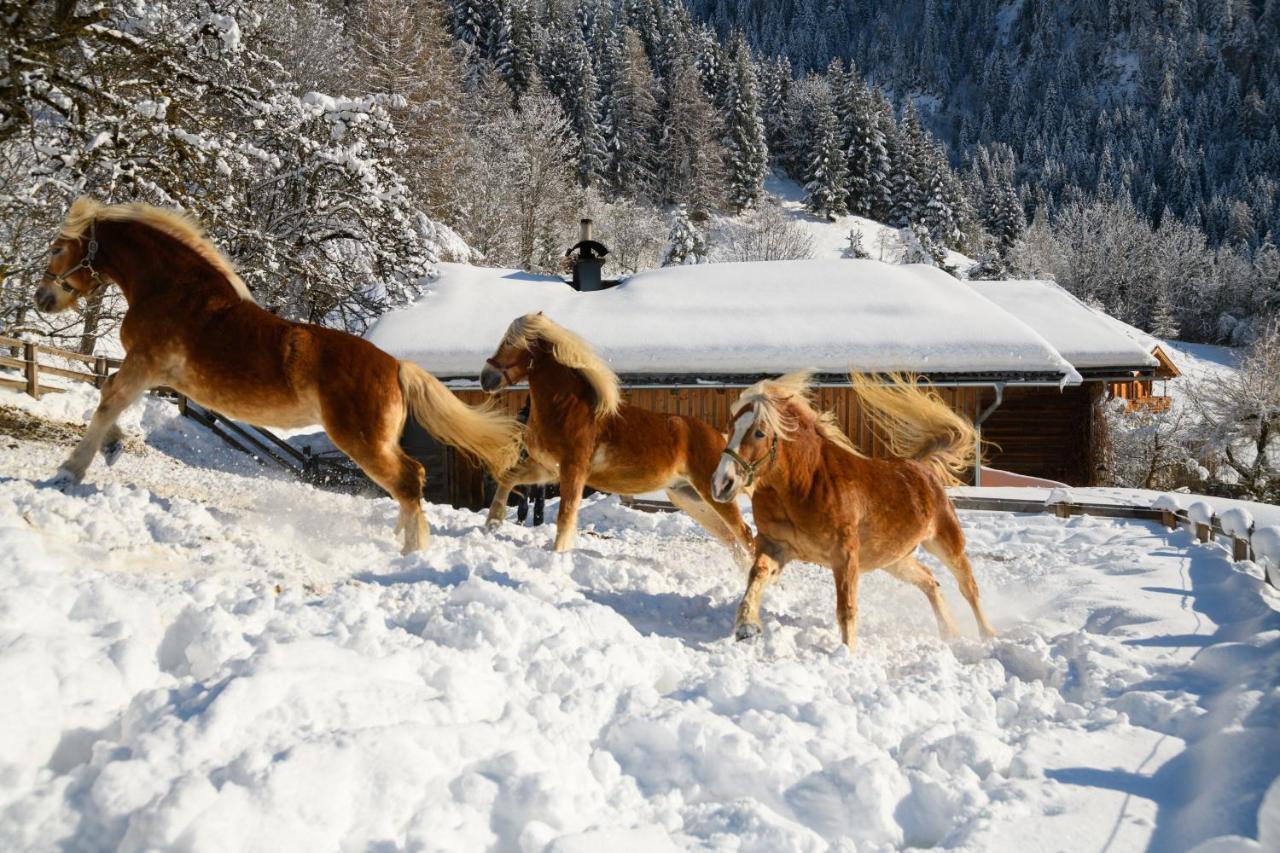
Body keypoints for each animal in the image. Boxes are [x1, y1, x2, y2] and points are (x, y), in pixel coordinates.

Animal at [31, 195, 519, 550]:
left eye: (57, 247)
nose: (41, 298)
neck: (174, 292)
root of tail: (395, 365)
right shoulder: (152, 374)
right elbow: (110, 396)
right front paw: (111, 448)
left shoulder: (144, 362)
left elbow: (108, 398)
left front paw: (68, 472)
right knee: (409, 481)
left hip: (361, 441)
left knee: (407, 480)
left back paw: (411, 552)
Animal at [483, 311, 752, 558]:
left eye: (511, 343)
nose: (486, 378)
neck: (566, 408)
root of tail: (720, 437)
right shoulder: (548, 468)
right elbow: (508, 477)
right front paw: (493, 522)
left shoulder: (573, 470)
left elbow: (566, 515)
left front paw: (558, 553)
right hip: (688, 496)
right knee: (730, 539)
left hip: (711, 495)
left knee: (744, 534)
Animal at [711, 368, 998, 648]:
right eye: (731, 426)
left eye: (759, 432)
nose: (721, 483)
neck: (802, 486)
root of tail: (922, 468)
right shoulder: (776, 545)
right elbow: (757, 574)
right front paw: (747, 626)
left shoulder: (844, 555)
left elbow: (846, 608)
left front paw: (847, 653)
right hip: (895, 559)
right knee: (929, 581)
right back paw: (950, 633)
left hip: (946, 543)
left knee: (968, 587)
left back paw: (988, 635)